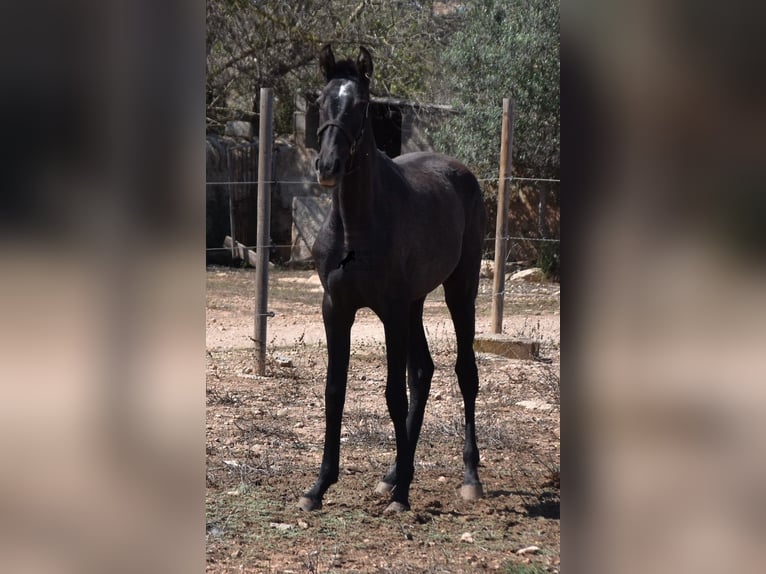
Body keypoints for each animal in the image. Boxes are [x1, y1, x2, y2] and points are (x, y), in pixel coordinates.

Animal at [300, 44, 486, 512]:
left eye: (363, 104)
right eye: (321, 101)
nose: (327, 166)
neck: (356, 224)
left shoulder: (390, 310)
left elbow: (392, 395)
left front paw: (402, 496)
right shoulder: (337, 308)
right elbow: (335, 391)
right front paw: (319, 486)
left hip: (459, 291)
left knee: (464, 372)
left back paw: (468, 478)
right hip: (415, 305)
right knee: (422, 372)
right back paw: (393, 474)